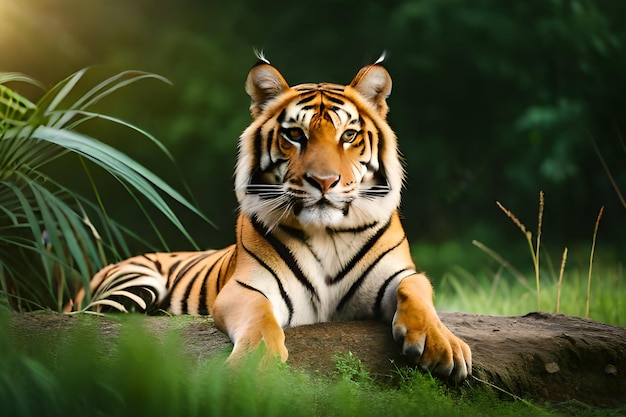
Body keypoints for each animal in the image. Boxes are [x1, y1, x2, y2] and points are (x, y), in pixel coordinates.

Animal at [73, 54, 470, 380]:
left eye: (349, 135)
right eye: (295, 135)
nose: (324, 181)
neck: (328, 233)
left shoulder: (398, 275)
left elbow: (417, 292)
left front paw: (443, 346)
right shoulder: (248, 286)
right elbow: (260, 316)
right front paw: (255, 362)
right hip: (133, 282)